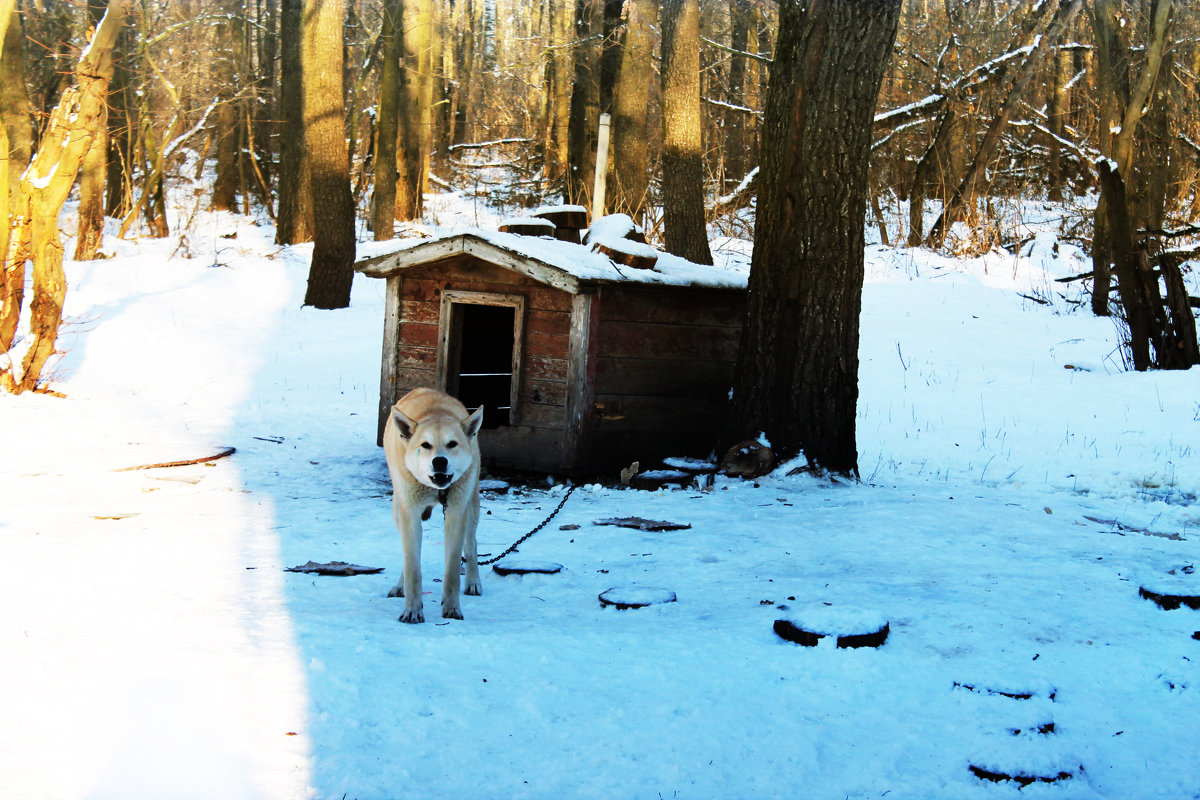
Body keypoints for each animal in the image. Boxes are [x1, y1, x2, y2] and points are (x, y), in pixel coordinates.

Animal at [379, 388, 482, 623]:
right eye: (425, 445)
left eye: (452, 444)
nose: (439, 461)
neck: (436, 490)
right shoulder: (410, 515)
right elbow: (413, 569)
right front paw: (412, 610)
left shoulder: (455, 514)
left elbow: (452, 570)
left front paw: (452, 608)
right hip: (398, 511)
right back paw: (400, 586)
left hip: (471, 506)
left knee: (471, 544)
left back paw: (473, 581)